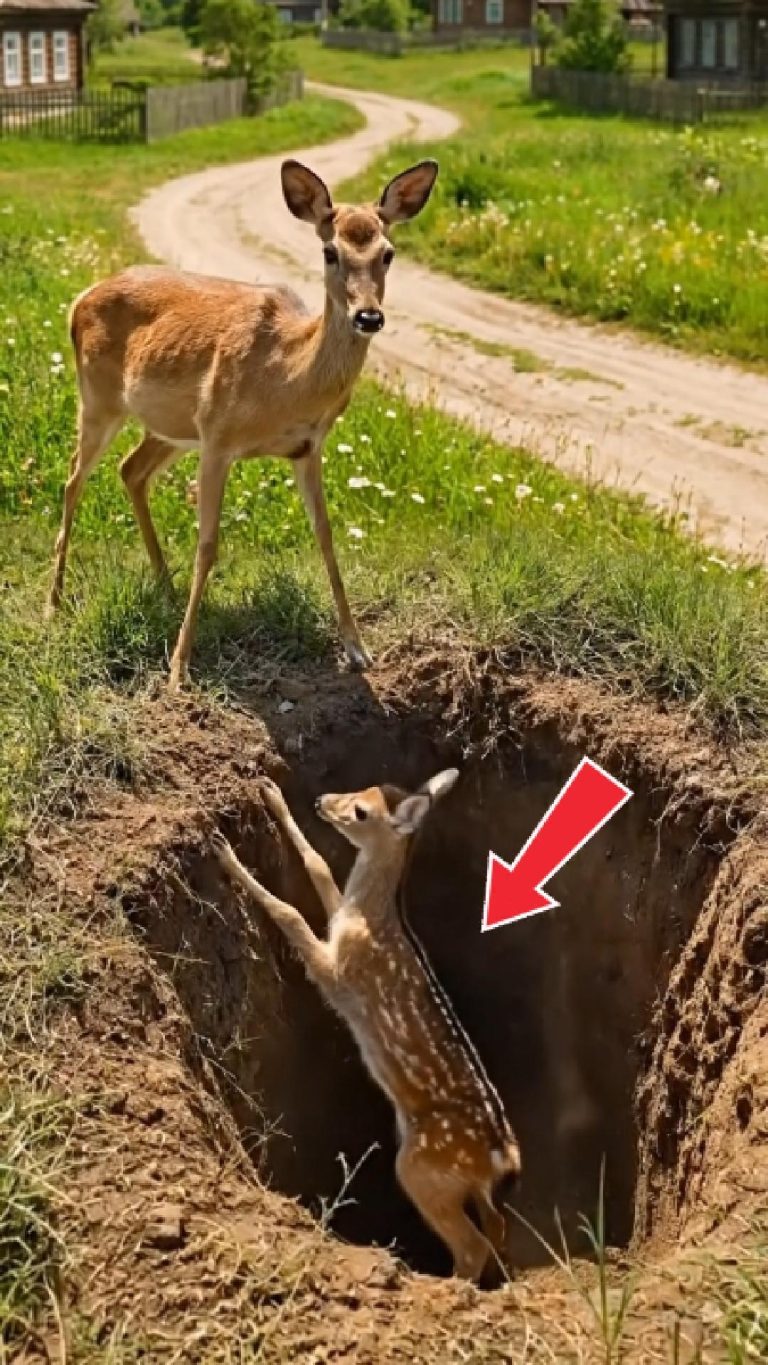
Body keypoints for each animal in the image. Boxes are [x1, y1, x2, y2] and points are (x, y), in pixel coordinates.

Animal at [45, 157, 439, 690]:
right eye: (329, 252)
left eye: (389, 254)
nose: (368, 316)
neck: (285, 378)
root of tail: (79, 297)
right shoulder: (218, 437)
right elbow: (208, 544)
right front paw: (179, 668)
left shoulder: (307, 448)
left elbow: (326, 534)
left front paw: (357, 648)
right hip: (100, 399)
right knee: (73, 478)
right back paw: (54, 602)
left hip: (171, 428)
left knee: (131, 470)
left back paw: (165, 587)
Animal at [212, 772, 521, 1284]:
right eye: (362, 787)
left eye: (362, 812)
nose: (322, 800)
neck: (366, 915)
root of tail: (503, 1159)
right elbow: (319, 867)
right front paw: (269, 793)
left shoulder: (341, 976)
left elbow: (292, 913)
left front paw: (225, 854)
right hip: (461, 1183)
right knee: (495, 1226)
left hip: (420, 1166)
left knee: (472, 1244)